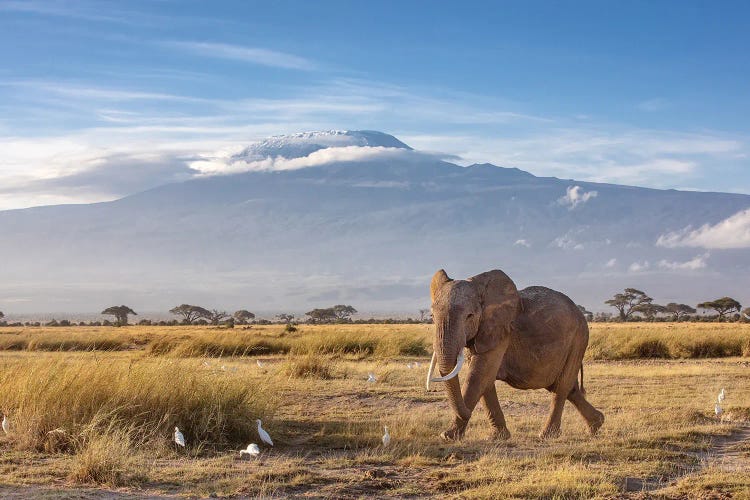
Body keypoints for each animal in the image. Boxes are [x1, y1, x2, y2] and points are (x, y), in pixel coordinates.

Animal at [428, 268, 604, 440]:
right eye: (432, 316)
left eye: (469, 316)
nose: (467, 414)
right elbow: (486, 380)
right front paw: (499, 436)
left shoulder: (501, 332)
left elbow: (478, 376)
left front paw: (447, 436)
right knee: (569, 388)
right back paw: (596, 425)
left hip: (578, 339)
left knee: (561, 386)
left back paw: (547, 435)